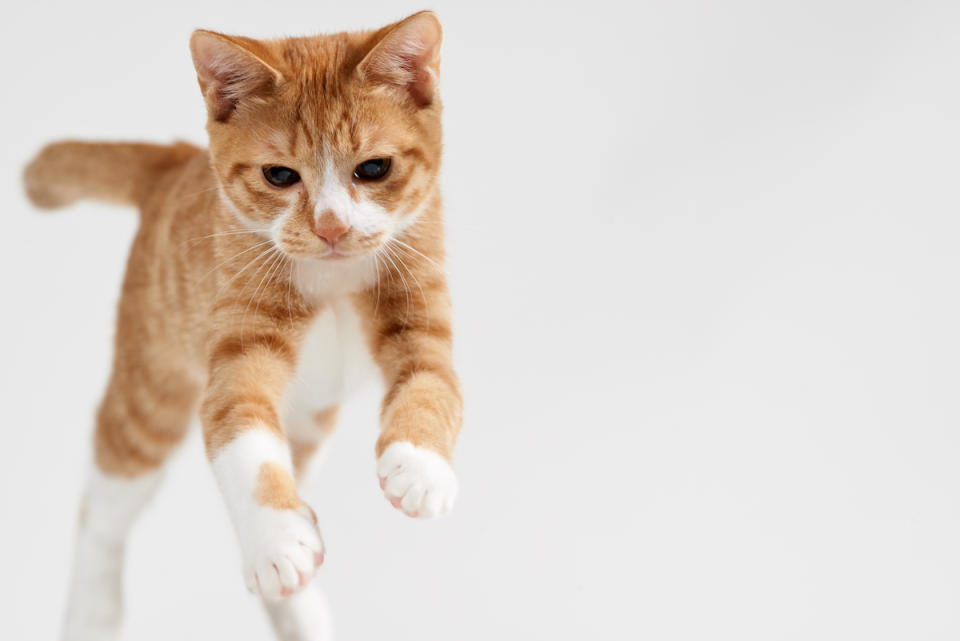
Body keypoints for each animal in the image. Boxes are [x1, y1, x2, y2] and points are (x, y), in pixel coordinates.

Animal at [20, 11, 460, 640]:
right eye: (280, 175)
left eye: (373, 169)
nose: (330, 226)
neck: (333, 277)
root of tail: (175, 159)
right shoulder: (238, 359)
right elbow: (245, 443)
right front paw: (276, 542)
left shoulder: (423, 325)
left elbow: (432, 390)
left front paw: (420, 469)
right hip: (149, 402)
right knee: (101, 509)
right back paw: (92, 611)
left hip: (305, 422)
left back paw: (300, 611)